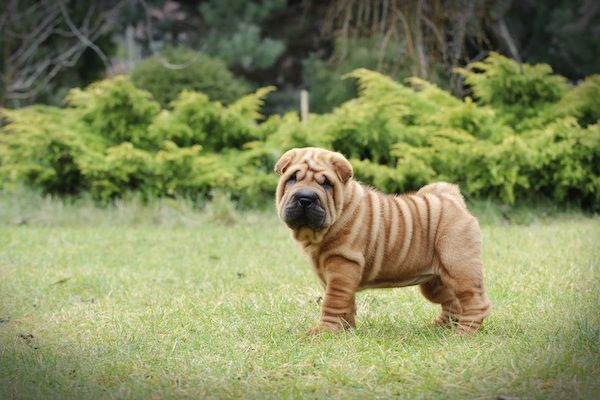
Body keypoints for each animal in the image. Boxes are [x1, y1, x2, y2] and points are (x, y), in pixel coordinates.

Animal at [276, 147, 492, 334]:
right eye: (292, 179)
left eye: (326, 183)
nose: (305, 198)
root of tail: (453, 198)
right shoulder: (337, 275)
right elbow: (346, 302)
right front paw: (346, 330)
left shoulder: (343, 265)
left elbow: (333, 302)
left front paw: (325, 332)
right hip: (435, 280)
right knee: (452, 302)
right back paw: (439, 327)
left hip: (459, 266)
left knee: (475, 302)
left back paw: (464, 333)